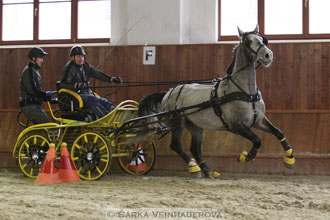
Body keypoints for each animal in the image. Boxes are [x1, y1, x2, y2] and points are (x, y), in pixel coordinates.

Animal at [137, 25, 296, 177]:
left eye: (262, 39)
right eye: (247, 41)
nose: (268, 55)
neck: (245, 92)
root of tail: (169, 91)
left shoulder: (258, 120)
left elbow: (278, 132)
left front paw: (289, 159)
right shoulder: (237, 125)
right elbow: (257, 140)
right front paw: (246, 156)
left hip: (196, 126)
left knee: (195, 149)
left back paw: (208, 171)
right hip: (178, 122)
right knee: (176, 145)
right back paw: (194, 167)